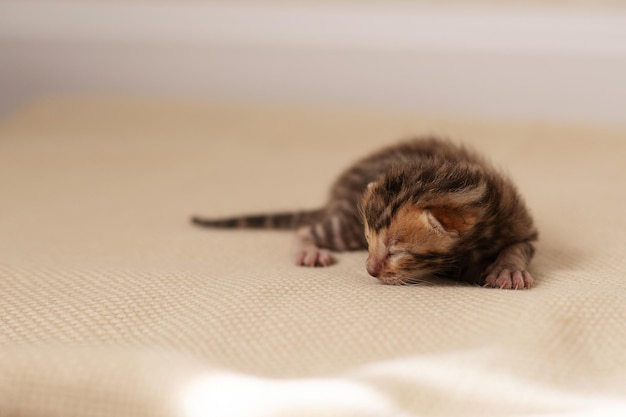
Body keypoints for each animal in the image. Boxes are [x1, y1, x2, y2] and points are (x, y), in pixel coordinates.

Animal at [191, 138, 536, 288]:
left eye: (397, 250)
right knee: (305, 230)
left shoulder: (518, 219)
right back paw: (310, 251)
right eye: (370, 241)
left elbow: (519, 247)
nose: (369, 269)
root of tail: (336, 195)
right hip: (346, 225)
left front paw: (508, 269)